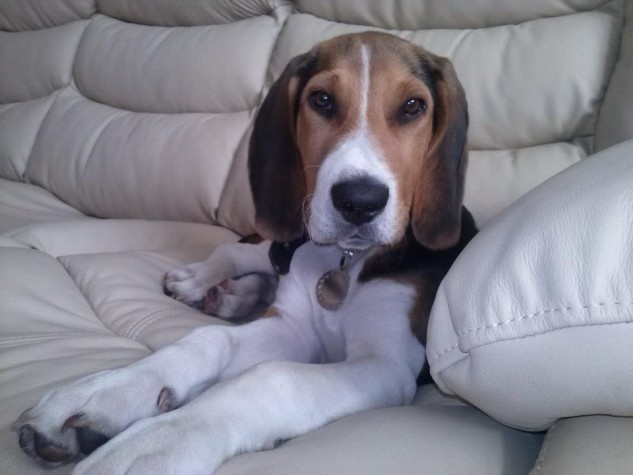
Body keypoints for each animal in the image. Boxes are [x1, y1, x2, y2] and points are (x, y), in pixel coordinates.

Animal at [14, 32, 477, 474]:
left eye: (413, 106)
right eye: (322, 99)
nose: (359, 202)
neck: (344, 261)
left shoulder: (386, 363)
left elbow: (271, 376)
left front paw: (156, 442)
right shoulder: (293, 326)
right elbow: (208, 339)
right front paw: (111, 389)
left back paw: (233, 295)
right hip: (281, 245)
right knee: (235, 252)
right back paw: (203, 283)